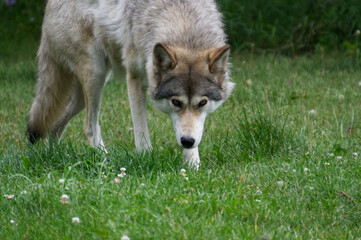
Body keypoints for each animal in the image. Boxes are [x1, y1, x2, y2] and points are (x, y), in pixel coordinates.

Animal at [25, 0, 233, 169]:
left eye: (202, 103)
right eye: (176, 102)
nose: (187, 141)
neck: (183, 22)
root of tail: (49, 6)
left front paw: (192, 167)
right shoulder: (134, 78)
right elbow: (141, 131)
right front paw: (146, 159)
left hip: (83, 96)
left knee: (54, 126)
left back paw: (53, 157)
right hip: (96, 75)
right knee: (89, 127)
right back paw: (105, 162)